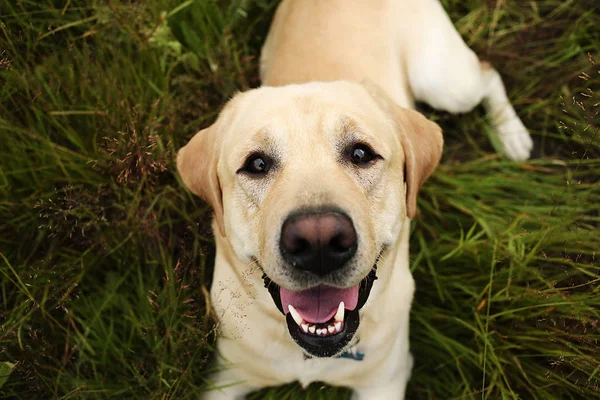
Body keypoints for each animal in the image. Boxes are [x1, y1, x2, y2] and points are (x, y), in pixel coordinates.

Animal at [176, 1, 532, 398]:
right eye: (256, 164)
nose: (318, 242)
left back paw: (512, 135)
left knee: (488, 74)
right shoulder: (225, 378)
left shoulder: (385, 381)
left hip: (446, 82)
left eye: (361, 154)